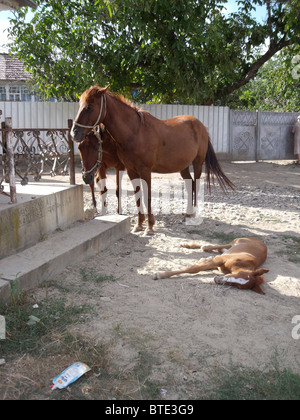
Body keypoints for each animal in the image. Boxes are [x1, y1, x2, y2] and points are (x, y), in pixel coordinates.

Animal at [71, 85, 234, 235]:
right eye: (80, 148)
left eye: (89, 107)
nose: (75, 133)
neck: (135, 132)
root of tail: (201, 126)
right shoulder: (130, 170)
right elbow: (137, 195)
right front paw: (138, 224)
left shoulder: (144, 170)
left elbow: (147, 195)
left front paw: (149, 227)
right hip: (183, 166)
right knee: (190, 184)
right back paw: (186, 214)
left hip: (198, 163)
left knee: (196, 185)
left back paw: (193, 214)